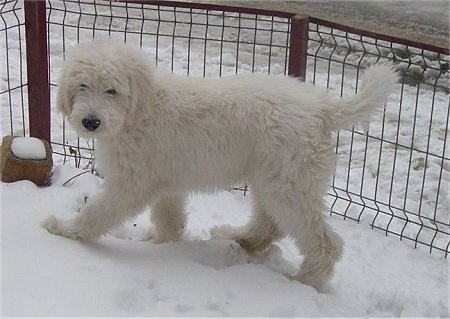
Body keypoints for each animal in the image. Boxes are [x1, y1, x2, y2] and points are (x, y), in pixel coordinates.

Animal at [44, 40, 398, 292]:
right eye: (81, 86)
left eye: (112, 90)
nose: (91, 122)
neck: (141, 109)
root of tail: (322, 108)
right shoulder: (164, 181)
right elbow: (169, 219)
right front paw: (162, 244)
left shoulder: (132, 183)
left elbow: (98, 211)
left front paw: (65, 229)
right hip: (273, 178)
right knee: (269, 223)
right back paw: (239, 237)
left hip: (288, 183)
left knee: (325, 242)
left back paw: (305, 282)